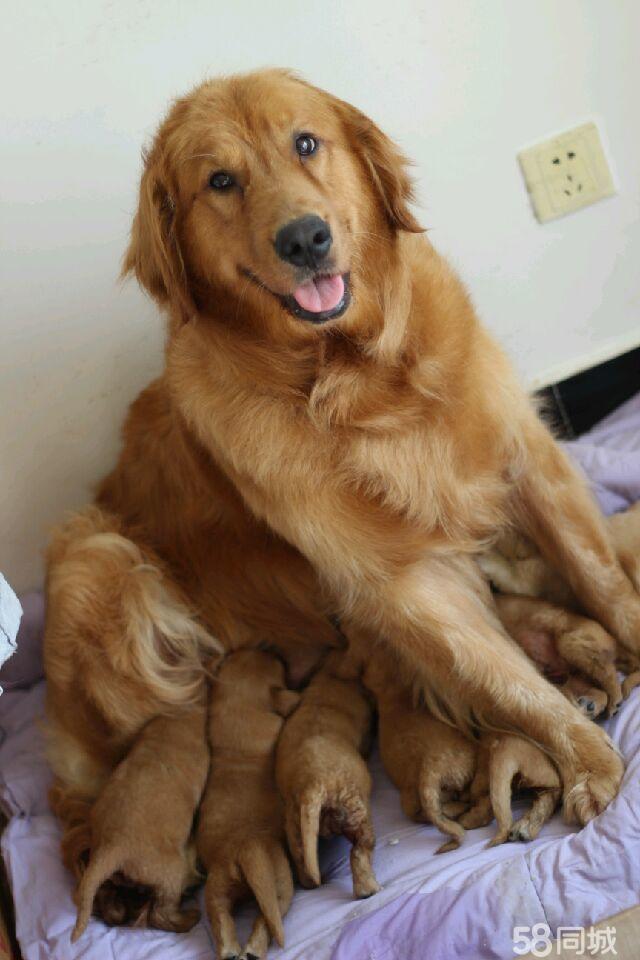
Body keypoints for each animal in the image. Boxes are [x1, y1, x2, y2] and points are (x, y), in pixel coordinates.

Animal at [196, 648, 298, 960]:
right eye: (278, 663)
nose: (272, 648)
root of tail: (247, 849)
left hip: (216, 888)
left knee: (221, 919)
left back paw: (231, 950)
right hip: (280, 886)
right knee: (266, 919)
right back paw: (253, 949)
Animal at [276, 648, 380, 896]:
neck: (330, 676)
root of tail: (312, 786)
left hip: (294, 828)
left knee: (304, 865)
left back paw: (313, 881)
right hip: (356, 813)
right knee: (359, 850)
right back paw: (368, 889)